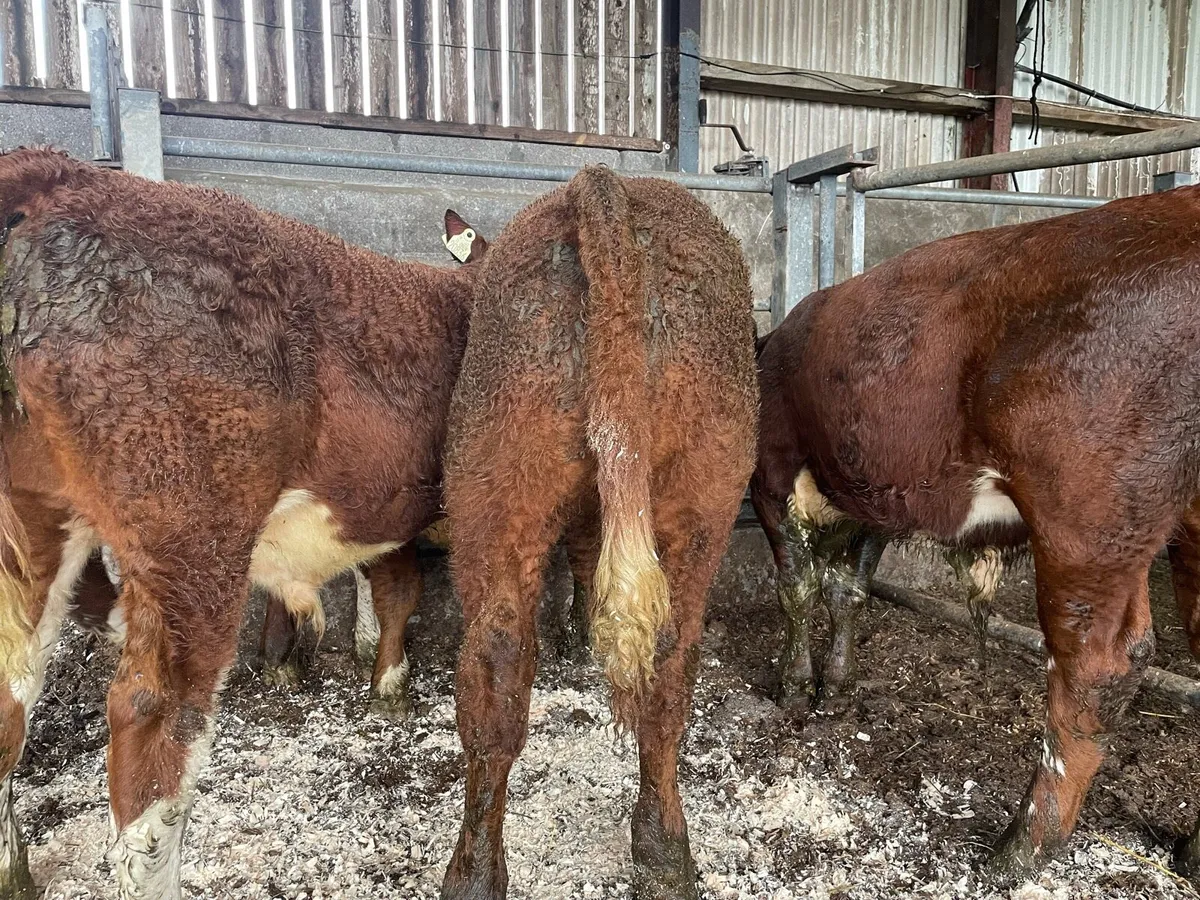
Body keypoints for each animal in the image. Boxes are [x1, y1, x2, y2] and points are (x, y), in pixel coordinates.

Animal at [0, 147, 479, 898]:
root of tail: (61, 174)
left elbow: (385, 582)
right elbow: (400, 589)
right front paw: (389, 684)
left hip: (37, 516)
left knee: (11, 691)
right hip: (189, 532)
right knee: (155, 723)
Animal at [750, 183, 1200, 884]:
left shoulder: (773, 478)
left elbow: (796, 590)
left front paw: (794, 686)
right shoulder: (879, 498)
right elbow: (848, 592)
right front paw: (836, 682)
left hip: (1089, 519)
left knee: (1098, 669)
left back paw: (1021, 847)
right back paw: (1191, 851)